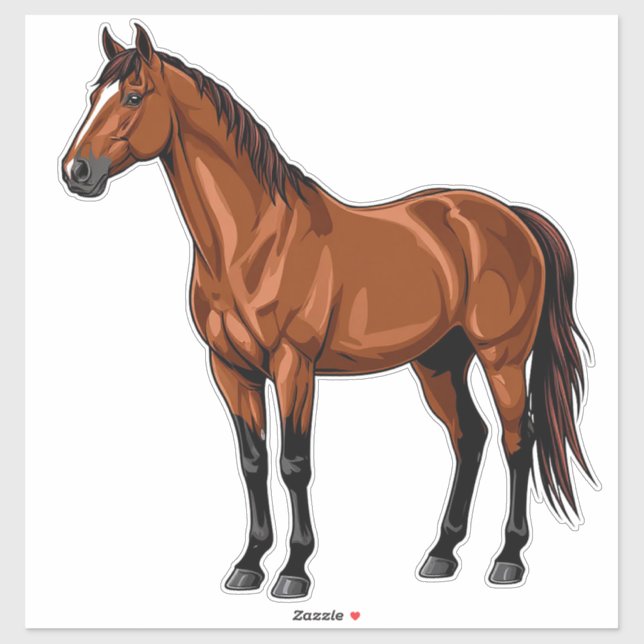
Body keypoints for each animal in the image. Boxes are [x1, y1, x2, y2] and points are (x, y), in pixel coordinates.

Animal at [60, 22, 595, 600]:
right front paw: (249, 563)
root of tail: (512, 217)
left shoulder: (294, 366)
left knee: (518, 440)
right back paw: (441, 554)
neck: (253, 241)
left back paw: (508, 559)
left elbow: (294, 464)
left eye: (134, 97)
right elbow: (253, 462)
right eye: (93, 96)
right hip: (439, 362)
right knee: (469, 438)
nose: (76, 171)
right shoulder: (231, 369)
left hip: (502, 358)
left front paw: (294, 570)